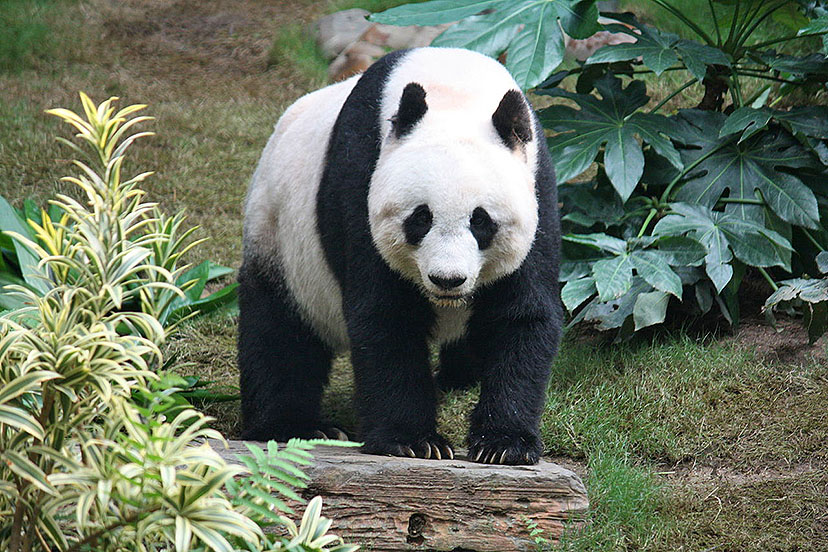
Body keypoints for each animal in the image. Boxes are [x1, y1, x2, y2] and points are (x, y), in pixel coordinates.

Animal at [239, 47, 564, 464]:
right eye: (421, 218)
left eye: (481, 221)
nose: (447, 280)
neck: (455, 89)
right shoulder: (360, 177)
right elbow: (386, 316)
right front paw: (413, 441)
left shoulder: (538, 189)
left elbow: (521, 315)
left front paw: (503, 444)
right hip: (280, 236)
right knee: (280, 332)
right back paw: (294, 426)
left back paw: (459, 377)